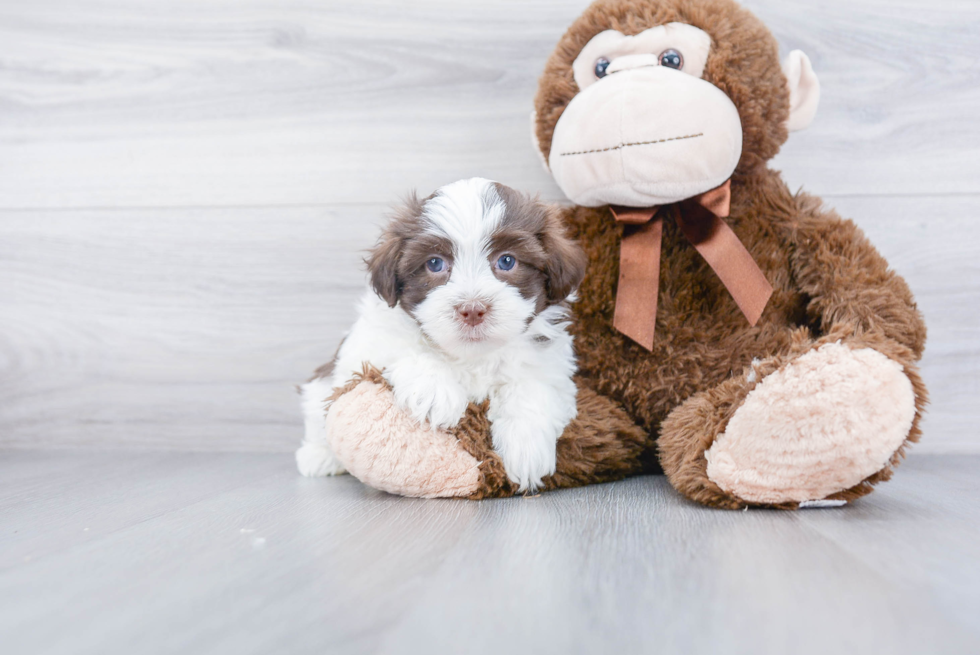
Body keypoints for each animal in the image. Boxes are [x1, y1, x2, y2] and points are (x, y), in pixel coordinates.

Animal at [298, 179, 584, 492]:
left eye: (507, 261)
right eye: (435, 263)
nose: (472, 309)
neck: (471, 355)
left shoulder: (549, 363)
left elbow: (532, 386)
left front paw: (526, 447)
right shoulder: (371, 340)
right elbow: (402, 348)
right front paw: (434, 391)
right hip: (321, 390)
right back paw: (319, 456)